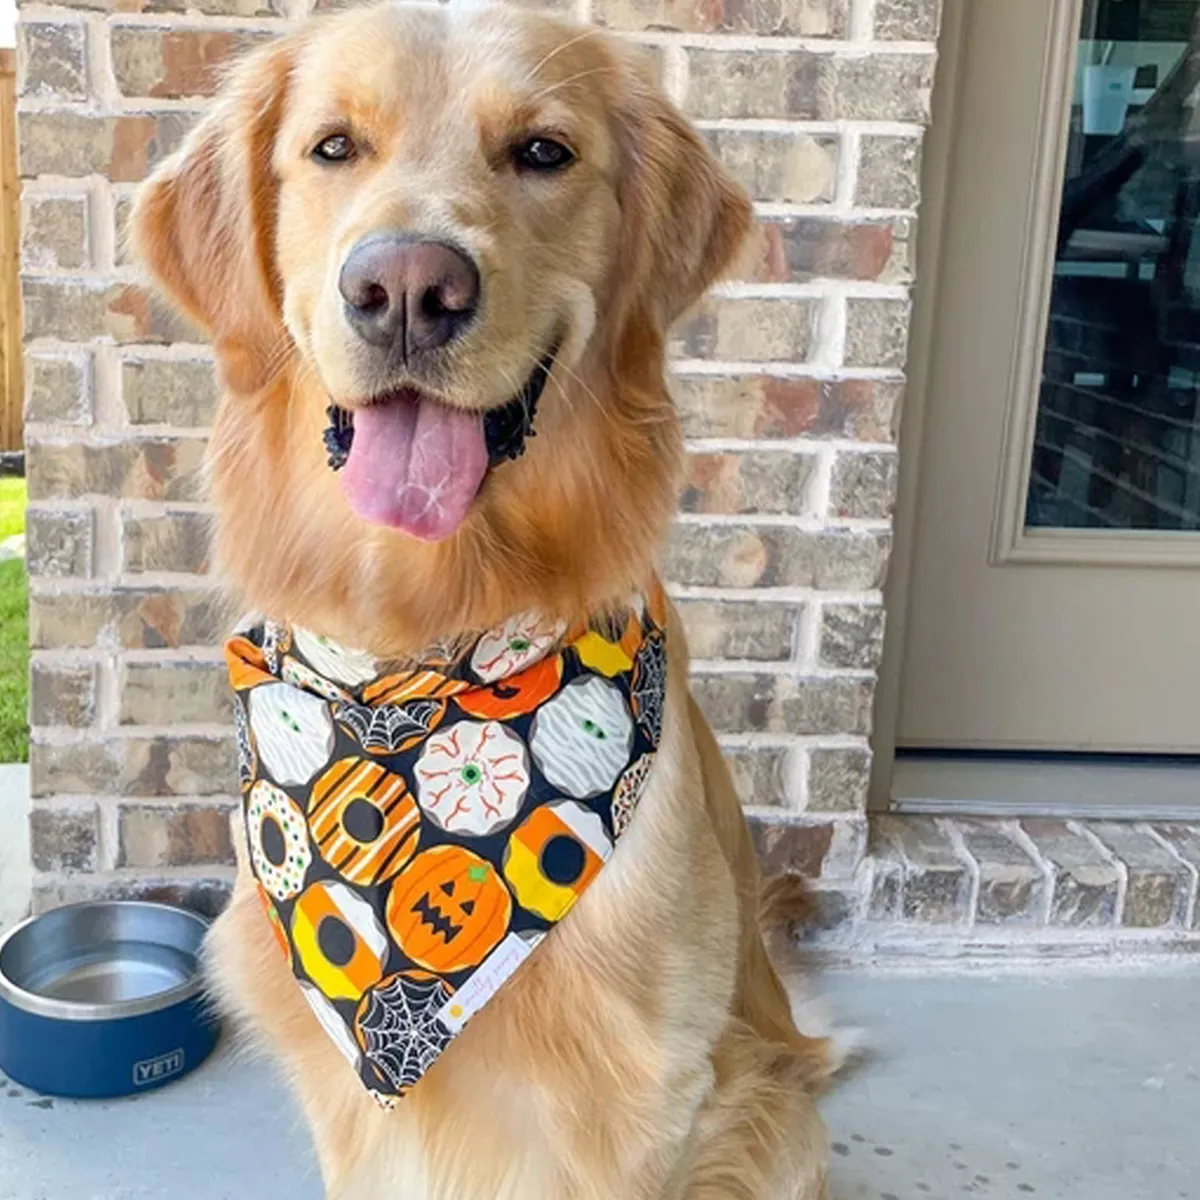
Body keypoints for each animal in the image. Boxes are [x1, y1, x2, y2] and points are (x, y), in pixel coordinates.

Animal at [131, 4, 840, 1195]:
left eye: (543, 152)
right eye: (334, 148)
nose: (409, 288)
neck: (419, 652)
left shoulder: (646, 1102)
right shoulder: (352, 1121)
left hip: (776, 1123)